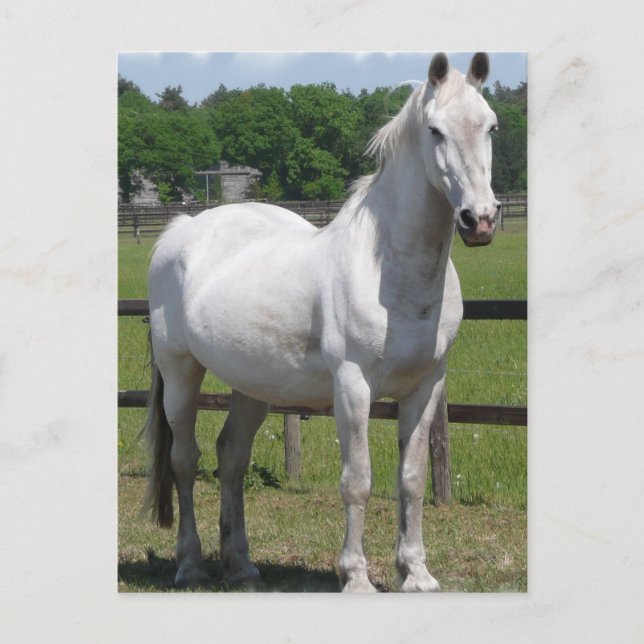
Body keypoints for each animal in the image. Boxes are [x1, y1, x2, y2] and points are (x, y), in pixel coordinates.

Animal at [142, 52, 500, 592]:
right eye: (435, 130)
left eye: (491, 126)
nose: (479, 219)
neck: (391, 270)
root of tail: (181, 229)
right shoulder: (351, 386)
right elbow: (357, 482)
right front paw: (356, 577)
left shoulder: (426, 386)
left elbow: (412, 479)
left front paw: (416, 573)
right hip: (181, 373)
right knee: (185, 462)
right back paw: (190, 565)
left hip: (253, 384)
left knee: (231, 457)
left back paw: (241, 566)